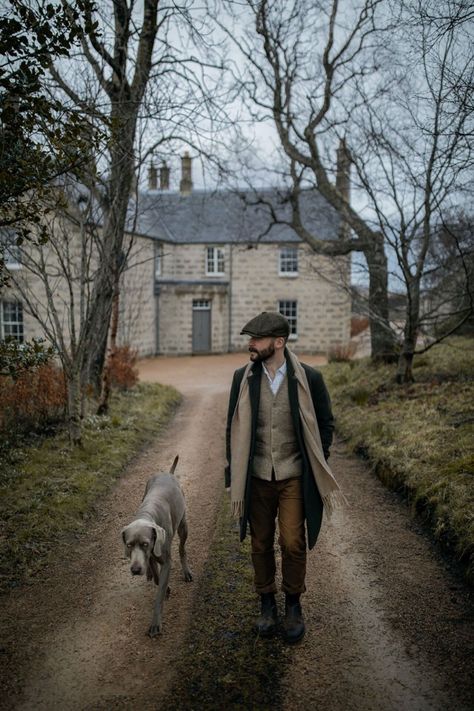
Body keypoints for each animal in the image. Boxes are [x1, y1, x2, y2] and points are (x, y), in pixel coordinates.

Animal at [121, 456, 193, 640]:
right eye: (129, 545)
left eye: (145, 544)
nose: (135, 570)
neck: (147, 514)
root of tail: (168, 473)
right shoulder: (151, 556)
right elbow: (157, 578)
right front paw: (160, 582)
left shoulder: (164, 560)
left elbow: (159, 593)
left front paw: (155, 624)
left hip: (183, 526)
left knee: (182, 548)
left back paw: (186, 572)